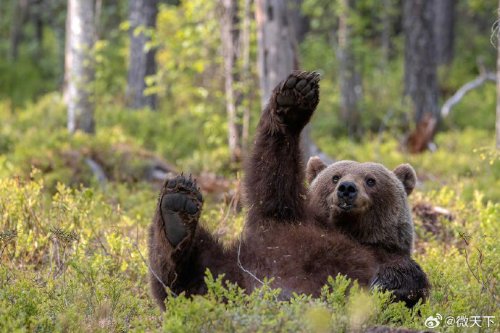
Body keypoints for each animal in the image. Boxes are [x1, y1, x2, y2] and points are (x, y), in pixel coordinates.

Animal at [146, 70, 428, 312]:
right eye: (335, 176)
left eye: (371, 180)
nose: (347, 188)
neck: (349, 231)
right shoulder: (282, 222)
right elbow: (272, 174)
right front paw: (294, 98)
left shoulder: (385, 255)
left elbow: (410, 281)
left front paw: (385, 286)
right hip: (230, 274)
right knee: (188, 273)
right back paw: (177, 209)